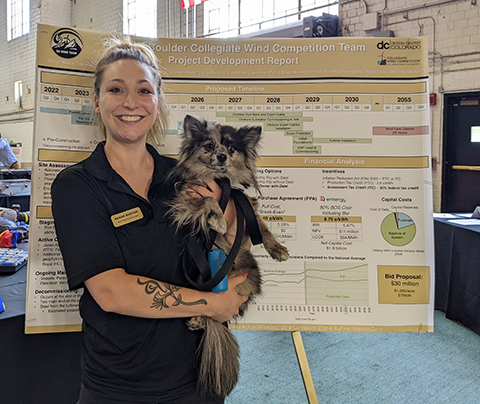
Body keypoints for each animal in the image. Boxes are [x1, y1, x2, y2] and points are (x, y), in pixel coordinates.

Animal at [167, 114, 288, 398]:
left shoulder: (245, 203)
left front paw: (277, 249)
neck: (219, 180)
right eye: (209, 146)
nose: (222, 156)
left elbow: (263, 227)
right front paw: (219, 220)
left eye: (231, 149)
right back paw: (199, 318)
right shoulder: (187, 198)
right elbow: (209, 202)